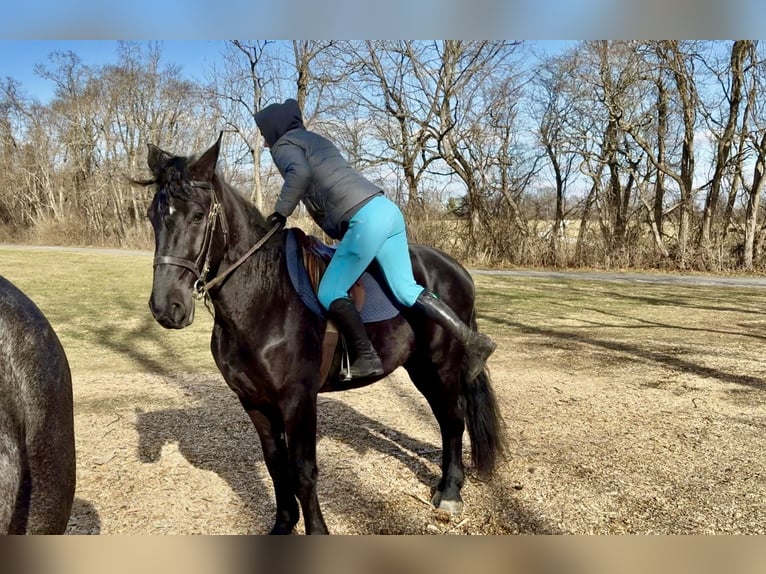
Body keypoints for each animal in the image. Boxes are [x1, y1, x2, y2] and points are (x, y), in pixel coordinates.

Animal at [138, 134, 504, 534]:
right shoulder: (254, 402)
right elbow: (276, 466)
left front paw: (316, 531)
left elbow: (302, 472)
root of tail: (456, 270)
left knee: (453, 419)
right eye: (154, 217)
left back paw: (450, 490)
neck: (264, 297)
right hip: (421, 368)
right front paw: (283, 524)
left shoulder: (298, 400)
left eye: (198, 215)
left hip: (440, 367)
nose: (167, 307)